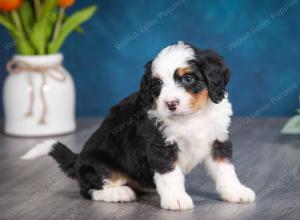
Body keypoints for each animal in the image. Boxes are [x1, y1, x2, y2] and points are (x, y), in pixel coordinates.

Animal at [21, 41, 255, 211]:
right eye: (158, 84)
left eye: (188, 78)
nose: (170, 104)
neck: (191, 116)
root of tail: (78, 160)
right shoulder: (160, 146)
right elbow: (170, 175)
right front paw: (176, 199)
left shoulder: (218, 140)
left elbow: (226, 170)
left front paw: (236, 192)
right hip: (100, 165)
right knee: (89, 189)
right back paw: (119, 193)